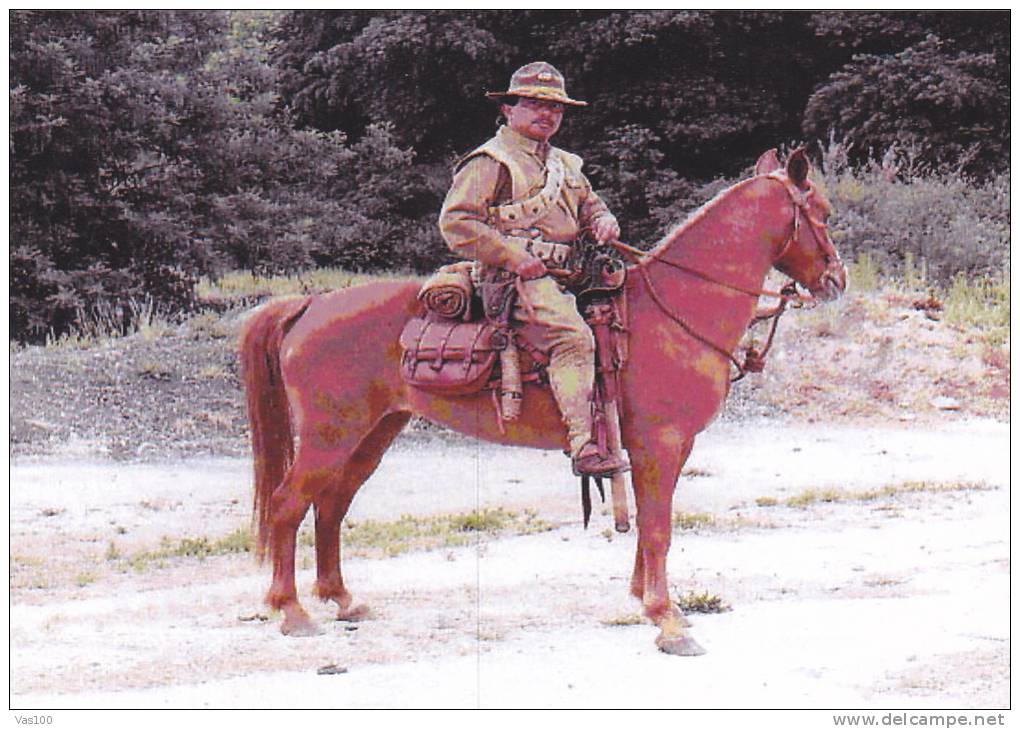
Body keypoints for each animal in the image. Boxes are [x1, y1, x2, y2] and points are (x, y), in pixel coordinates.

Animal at [236, 147, 844, 656]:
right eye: (823, 212)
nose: (836, 279)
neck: (674, 308)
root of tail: (309, 305)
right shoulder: (661, 445)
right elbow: (659, 529)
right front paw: (668, 620)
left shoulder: (663, 450)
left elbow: (652, 529)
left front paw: (645, 602)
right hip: (329, 436)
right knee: (289, 504)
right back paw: (291, 611)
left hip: (372, 434)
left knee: (331, 506)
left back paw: (341, 600)